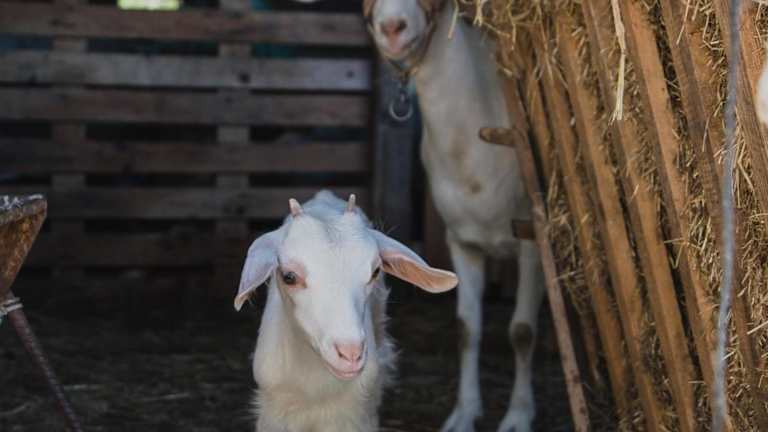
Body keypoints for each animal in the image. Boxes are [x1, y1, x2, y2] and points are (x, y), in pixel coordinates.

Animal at [363, 1, 546, 431]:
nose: (392, 27)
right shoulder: (461, 242)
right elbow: (466, 329)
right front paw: (463, 413)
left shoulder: (531, 240)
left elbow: (522, 332)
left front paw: (518, 416)